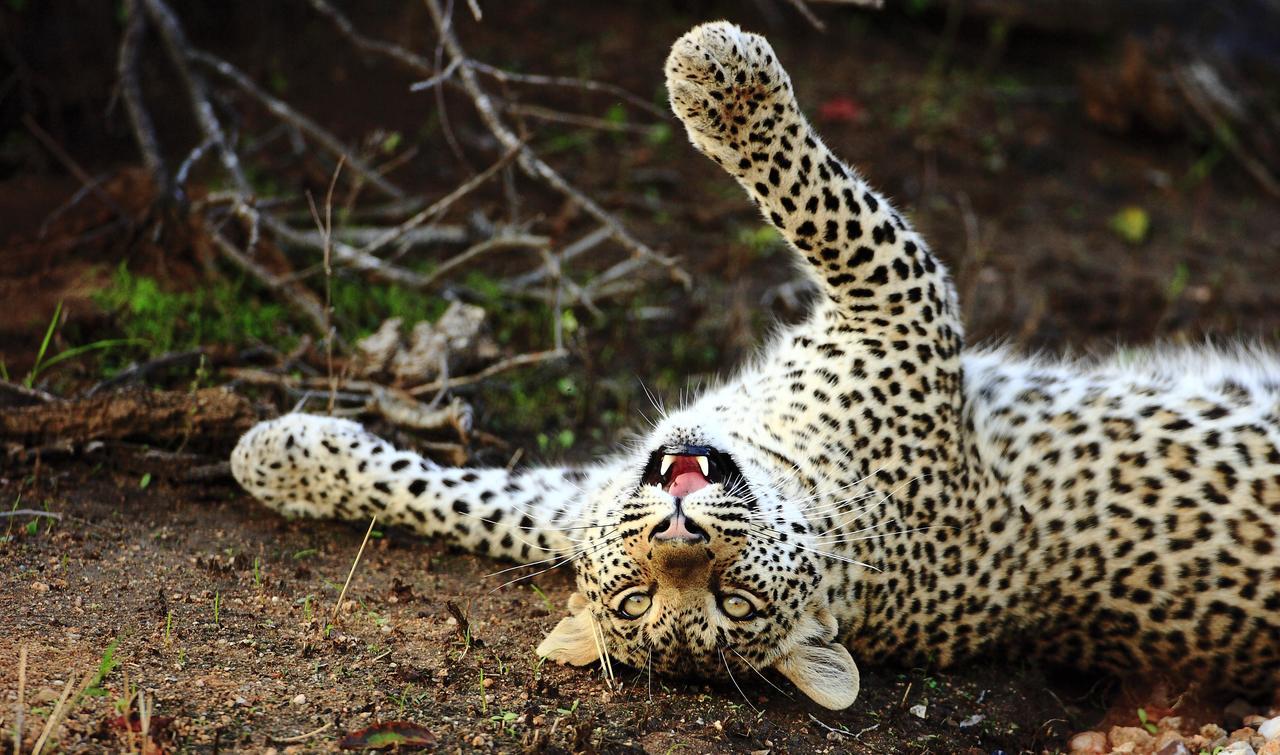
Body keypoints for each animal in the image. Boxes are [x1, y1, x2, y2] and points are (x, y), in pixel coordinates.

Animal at [230, 22, 1280, 711]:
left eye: (732, 599)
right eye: (640, 596)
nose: (680, 529)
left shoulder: (898, 301)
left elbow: (818, 202)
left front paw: (721, 79)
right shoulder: (586, 497)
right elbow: (465, 502)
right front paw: (285, 458)